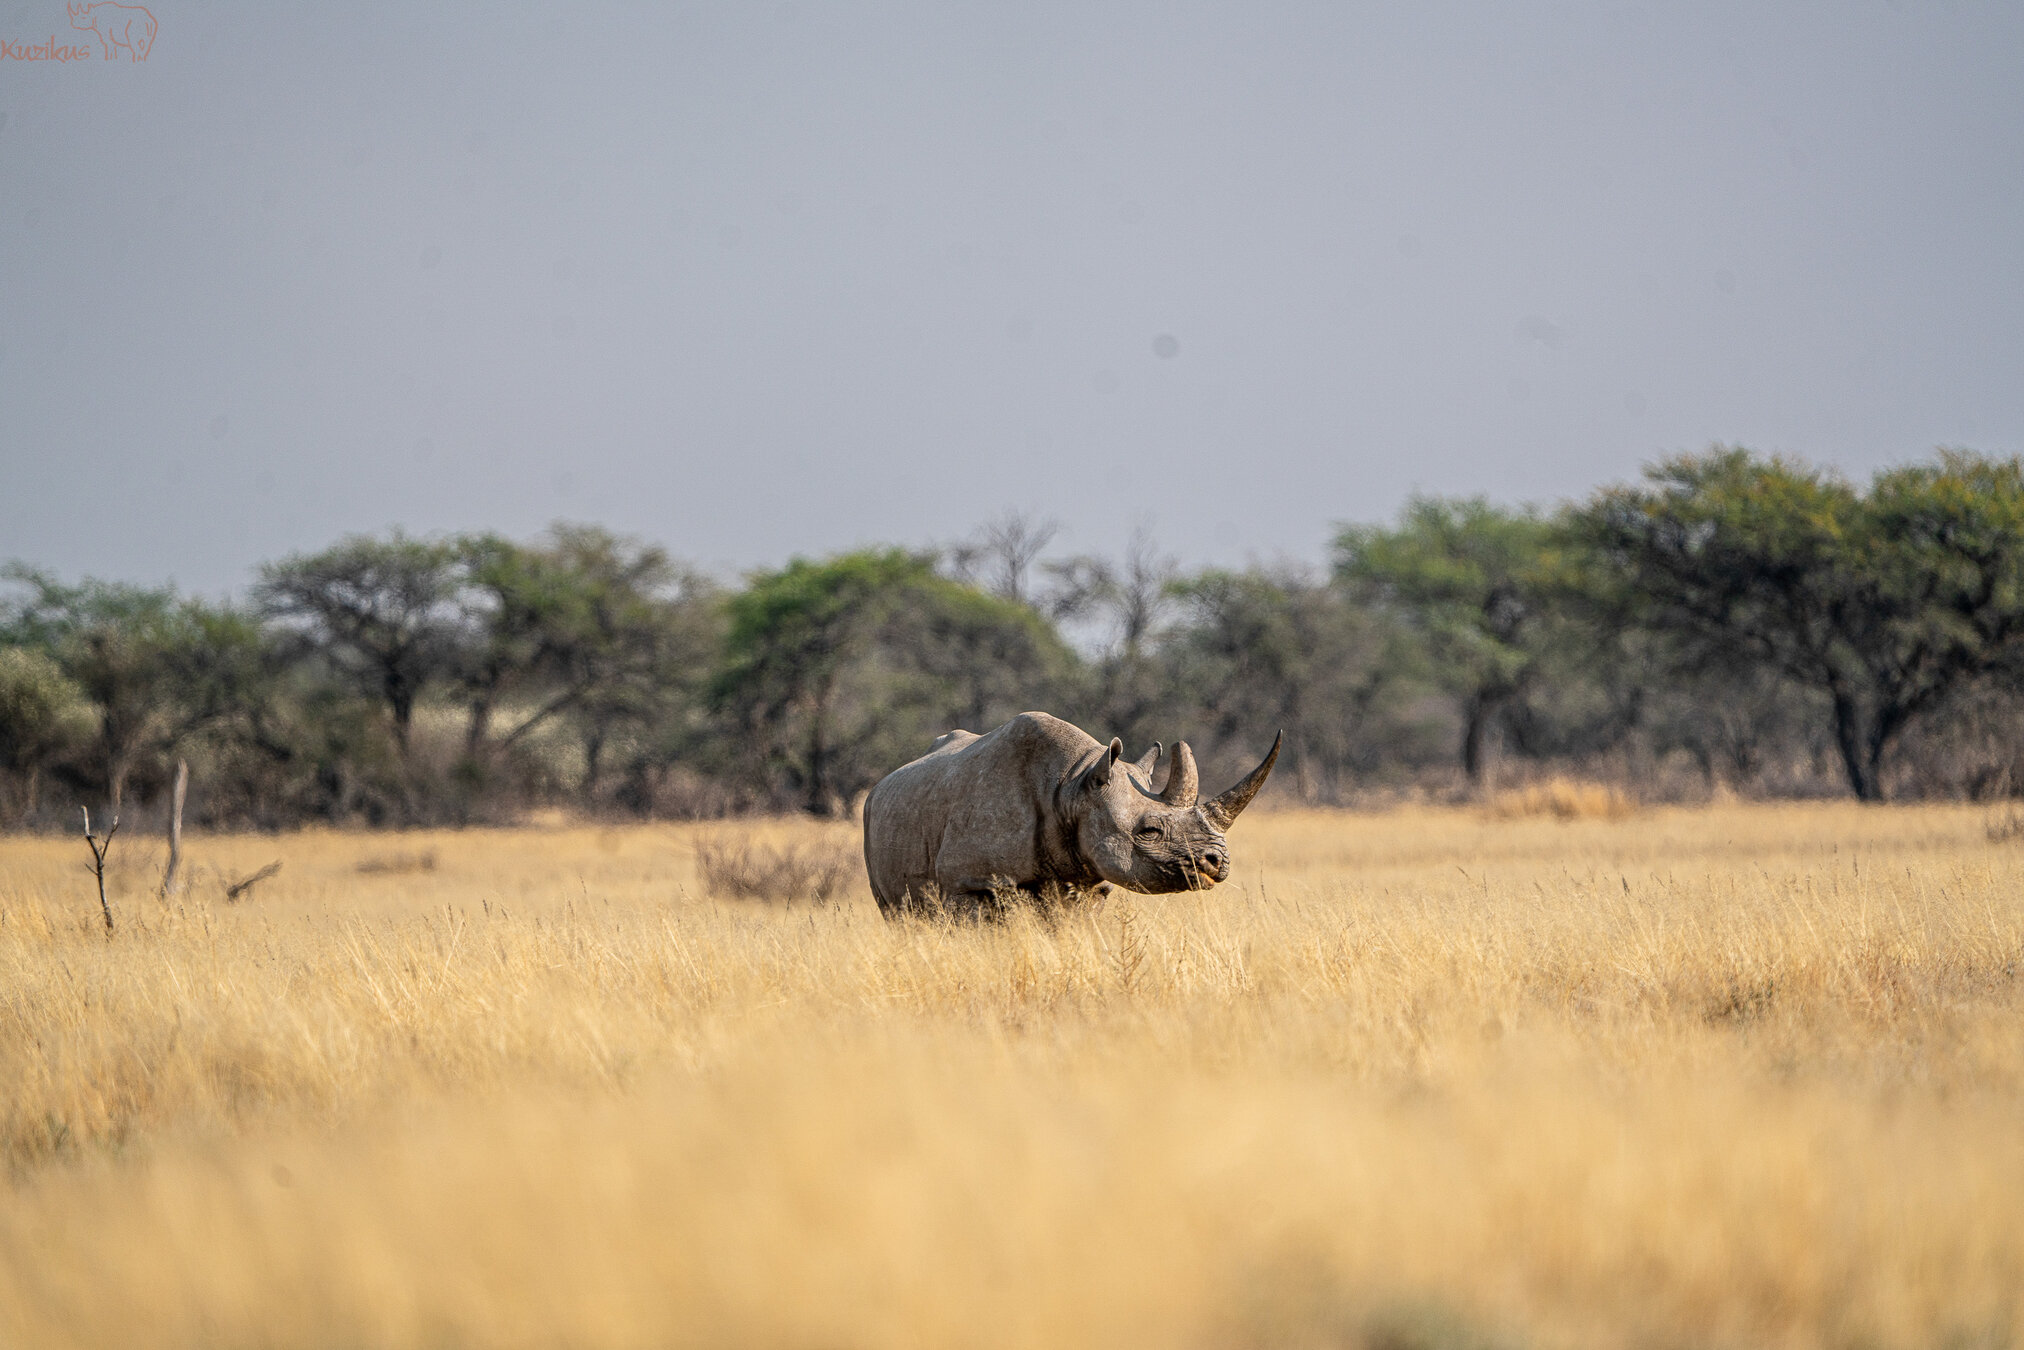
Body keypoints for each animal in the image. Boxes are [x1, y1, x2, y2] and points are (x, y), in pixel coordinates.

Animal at [862, 711, 1281, 917]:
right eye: (1148, 831)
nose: (1218, 862)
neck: (1074, 786)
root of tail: (879, 786)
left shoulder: (1088, 882)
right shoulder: (970, 883)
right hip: (871, 818)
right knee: (898, 916)